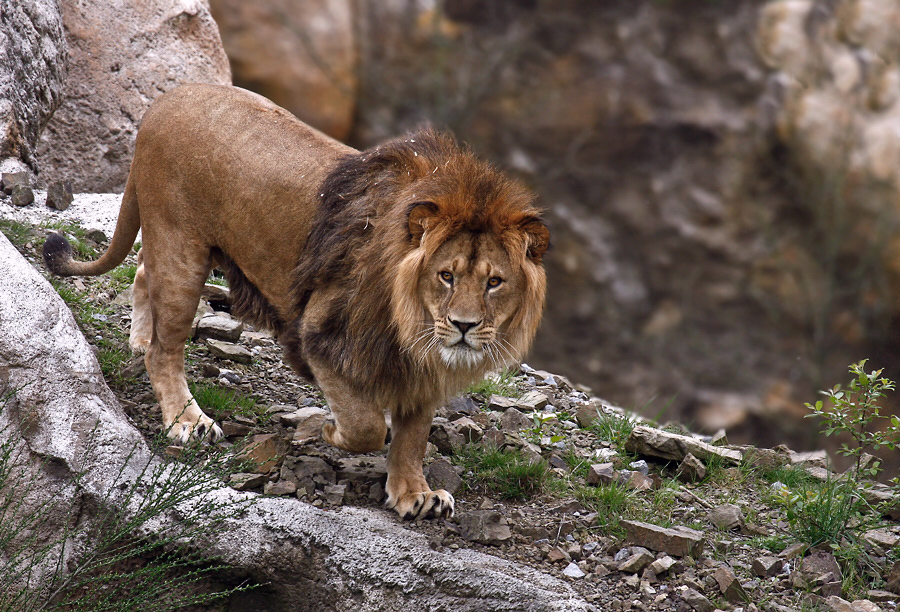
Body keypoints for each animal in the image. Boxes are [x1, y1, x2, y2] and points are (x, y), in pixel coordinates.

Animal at [45, 83, 552, 520]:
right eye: (446, 276)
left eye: (494, 282)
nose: (465, 326)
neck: (413, 324)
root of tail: (167, 98)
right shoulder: (321, 336)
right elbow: (366, 427)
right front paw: (326, 430)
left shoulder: (420, 368)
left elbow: (413, 435)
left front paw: (415, 493)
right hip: (180, 250)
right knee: (164, 350)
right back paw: (187, 419)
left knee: (141, 274)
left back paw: (138, 337)